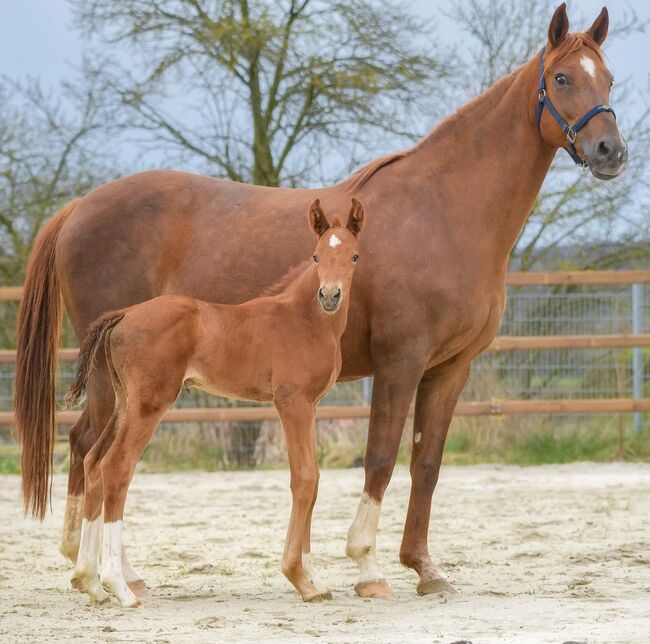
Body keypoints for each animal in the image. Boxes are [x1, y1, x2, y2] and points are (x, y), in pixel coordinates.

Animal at [64, 199, 364, 608]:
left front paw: (313, 578)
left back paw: (92, 582)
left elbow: (313, 480)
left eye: (353, 255)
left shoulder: (312, 406)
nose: (330, 296)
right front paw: (302, 579)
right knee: (116, 466)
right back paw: (120, 587)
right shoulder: (292, 402)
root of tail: (124, 315)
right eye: (316, 256)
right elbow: (305, 478)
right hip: (149, 405)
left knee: (94, 463)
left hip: (123, 404)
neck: (303, 320)